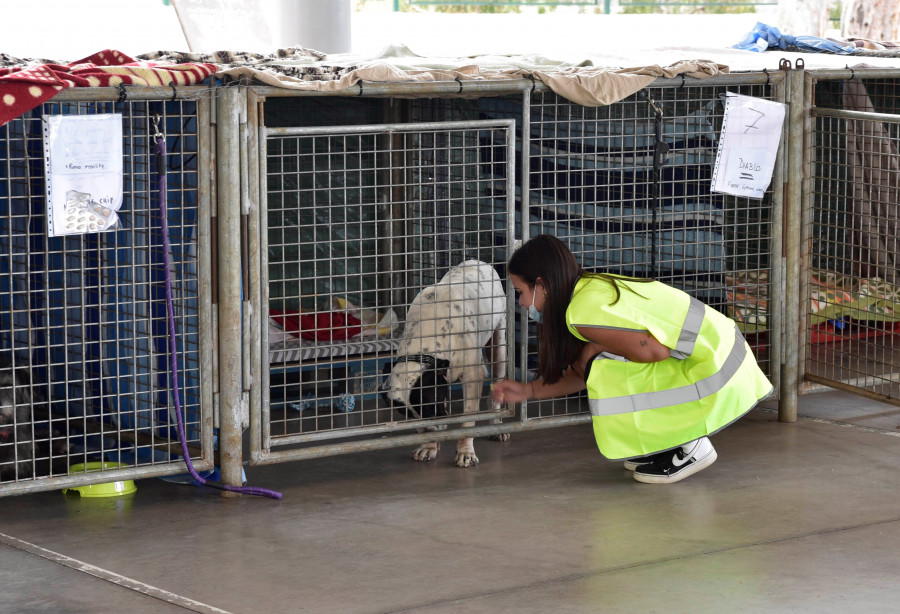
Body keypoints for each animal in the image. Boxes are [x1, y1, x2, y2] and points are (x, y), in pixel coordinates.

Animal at [380, 258, 506, 466]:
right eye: (410, 417)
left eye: (429, 409)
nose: (431, 431)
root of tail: (478, 261)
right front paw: (429, 446)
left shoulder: (472, 377)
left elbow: (467, 419)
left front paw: (465, 452)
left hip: (500, 345)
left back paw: (496, 424)